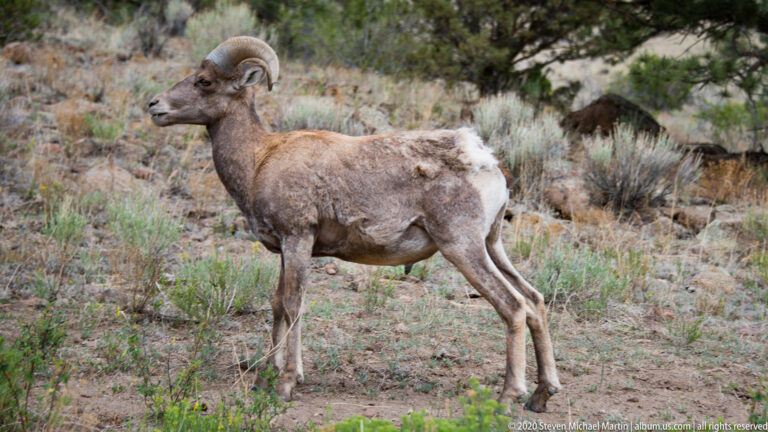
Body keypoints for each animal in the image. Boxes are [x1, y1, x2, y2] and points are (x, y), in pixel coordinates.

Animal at [147, 36, 561, 412]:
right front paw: (266, 377)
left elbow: (294, 305)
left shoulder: (298, 240)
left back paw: (508, 397)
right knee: (534, 301)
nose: (154, 106)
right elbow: (278, 305)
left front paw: (286, 385)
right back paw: (541, 396)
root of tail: (486, 163)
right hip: (492, 246)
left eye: (205, 81)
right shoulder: (285, 250)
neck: (258, 160)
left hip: (463, 248)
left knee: (513, 306)